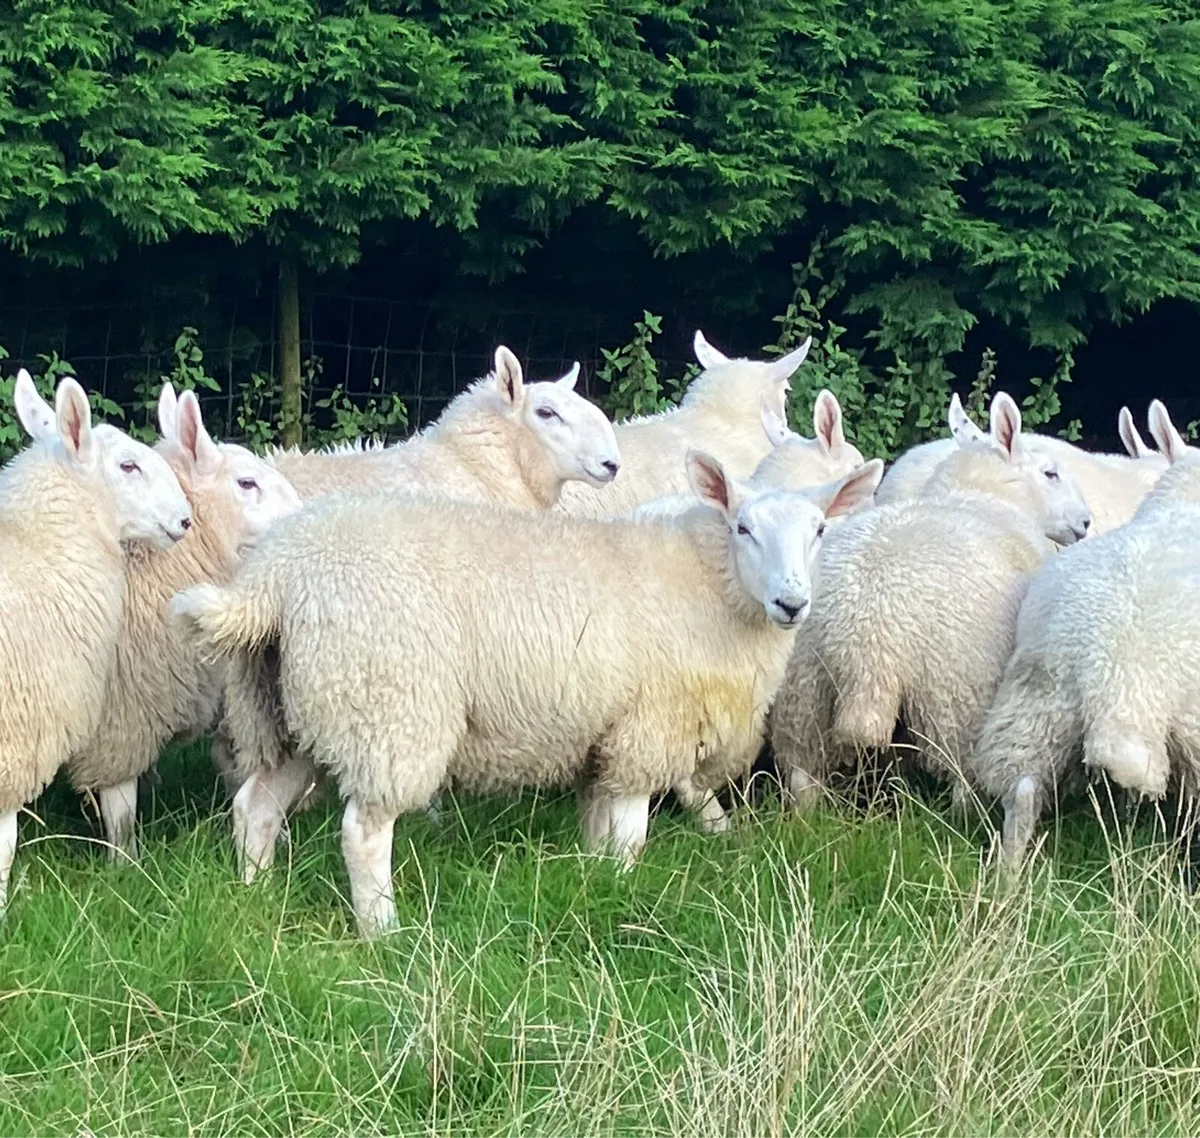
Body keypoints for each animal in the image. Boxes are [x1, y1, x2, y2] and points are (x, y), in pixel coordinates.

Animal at [172, 454, 883, 936]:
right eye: (743, 527)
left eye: (821, 530)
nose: (792, 603)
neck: (712, 589)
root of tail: (275, 574)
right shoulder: (646, 729)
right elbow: (630, 834)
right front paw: (628, 893)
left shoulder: (601, 737)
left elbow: (599, 832)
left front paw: (597, 887)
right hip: (389, 704)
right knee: (363, 833)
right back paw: (384, 932)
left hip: (295, 710)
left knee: (256, 807)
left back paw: (255, 896)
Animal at [770, 392, 1092, 813]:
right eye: (1050, 473)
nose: (1086, 523)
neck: (982, 494)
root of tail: (866, 638)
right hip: (955, 697)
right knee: (961, 778)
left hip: (803, 694)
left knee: (802, 773)